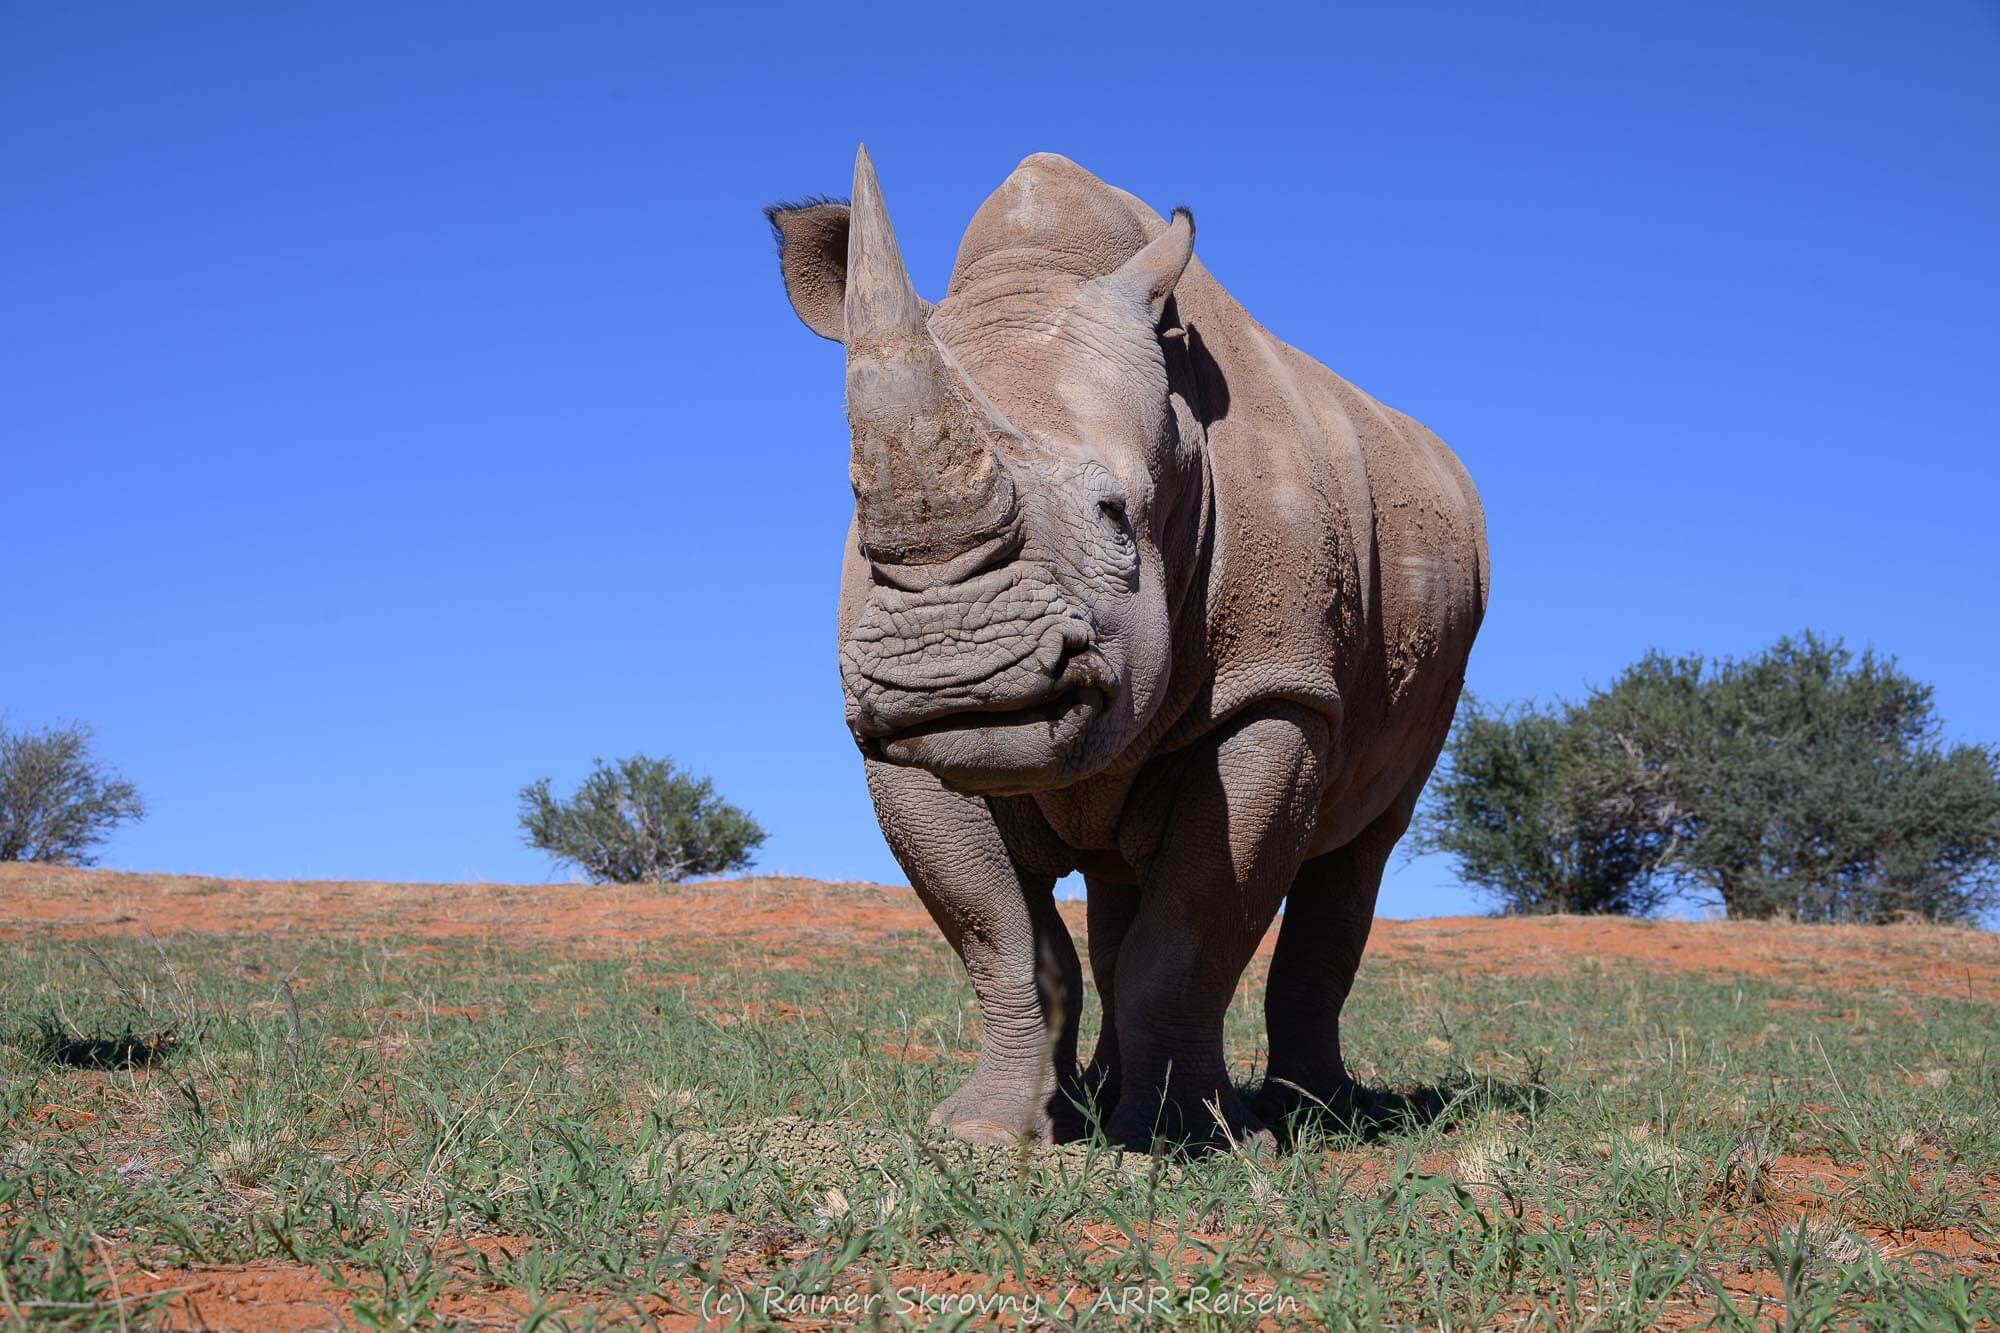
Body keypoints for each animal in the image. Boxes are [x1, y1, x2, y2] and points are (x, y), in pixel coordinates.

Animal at [766, 147, 1487, 1151]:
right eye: (868, 541)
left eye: (1115, 515)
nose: (958, 672)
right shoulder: (886, 735)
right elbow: (1000, 935)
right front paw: (988, 1132)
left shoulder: (1278, 690)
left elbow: (1190, 930)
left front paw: (1197, 1139)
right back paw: (1112, 1096)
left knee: (1362, 846)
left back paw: (1317, 1112)